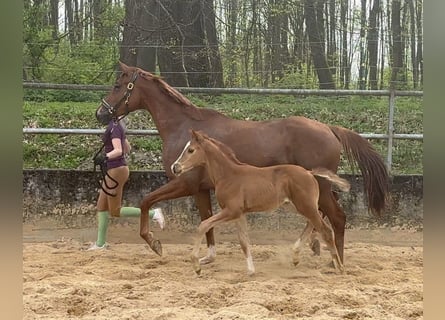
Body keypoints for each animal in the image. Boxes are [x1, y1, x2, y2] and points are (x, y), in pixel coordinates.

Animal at [172, 129, 348, 276]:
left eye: (190, 150)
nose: (175, 167)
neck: (228, 175)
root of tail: (309, 172)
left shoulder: (231, 211)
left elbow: (203, 225)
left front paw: (196, 266)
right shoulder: (239, 214)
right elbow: (244, 241)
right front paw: (251, 271)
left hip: (304, 205)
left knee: (326, 230)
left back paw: (339, 267)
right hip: (295, 205)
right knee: (314, 220)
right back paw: (296, 256)